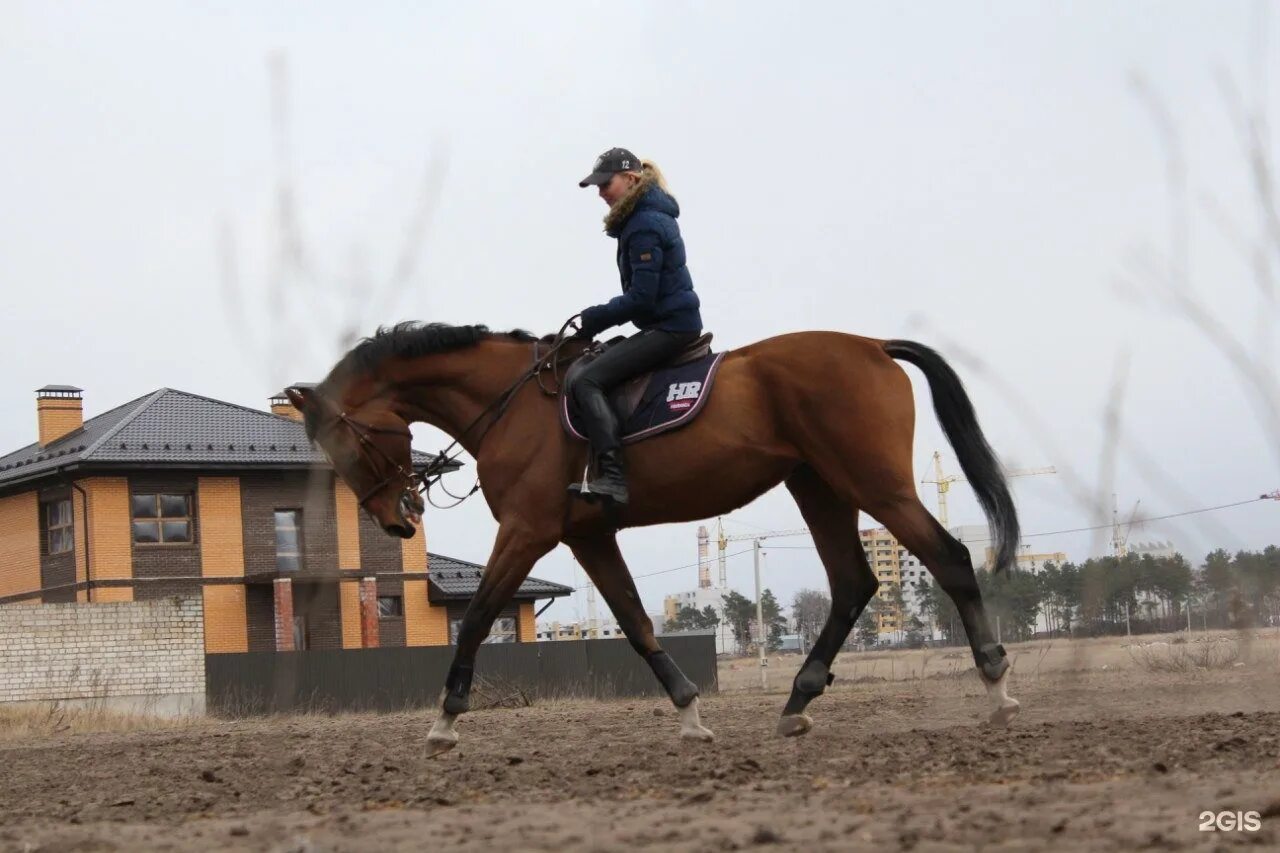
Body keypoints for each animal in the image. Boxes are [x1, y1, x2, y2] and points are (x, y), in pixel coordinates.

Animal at [288, 322, 1018, 753]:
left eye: (347, 450)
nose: (397, 519)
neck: (511, 403)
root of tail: (870, 344)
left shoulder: (526, 530)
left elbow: (475, 618)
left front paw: (444, 720)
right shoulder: (587, 537)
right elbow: (636, 623)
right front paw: (690, 712)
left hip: (872, 482)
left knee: (949, 558)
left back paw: (997, 686)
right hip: (818, 484)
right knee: (853, 581)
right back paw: (797, 699)